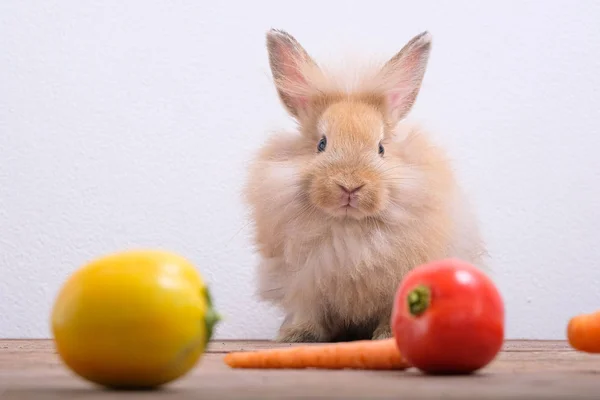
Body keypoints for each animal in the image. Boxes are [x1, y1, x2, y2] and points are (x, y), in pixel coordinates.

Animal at [244, 30, 488, 344]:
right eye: (321, 144)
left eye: (381, 148)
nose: (350, 186)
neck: (349, 227)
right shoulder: (302, 285)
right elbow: (308, 312)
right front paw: (298, 336)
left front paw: (386, 335)